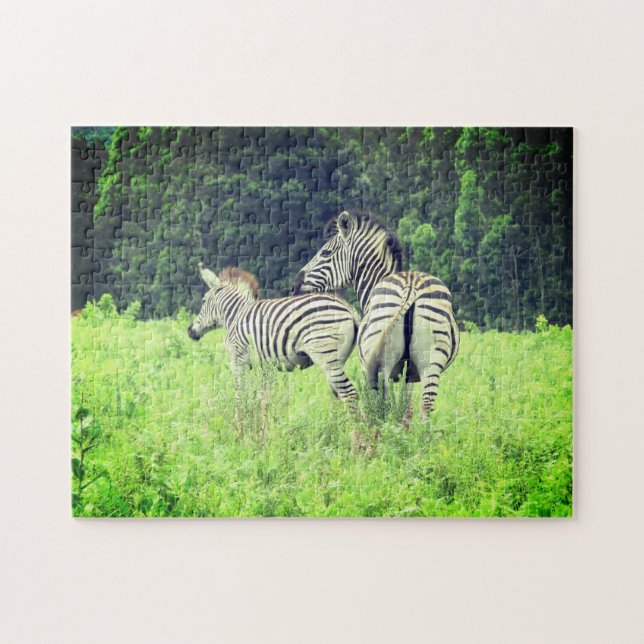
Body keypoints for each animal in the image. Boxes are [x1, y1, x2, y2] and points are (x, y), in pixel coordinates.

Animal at [188, 263, 360, 402]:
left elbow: (240, 396)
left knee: (349, 394)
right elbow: (264, 398)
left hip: (326, 356)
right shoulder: (264, 367)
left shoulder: (238, 360)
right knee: (340, 394)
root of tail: (349, 308)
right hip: (337, 359)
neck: (236, 314)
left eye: (203, 300)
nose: (190, 331)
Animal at [292, 210, 459, 418]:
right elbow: (407, 410)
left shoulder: (369, 365)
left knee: (382, 403)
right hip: (431, 362)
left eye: (325, 253)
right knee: (426, 405)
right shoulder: (410, 375)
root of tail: (410, 286)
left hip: (382, 363)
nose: (294, 286)